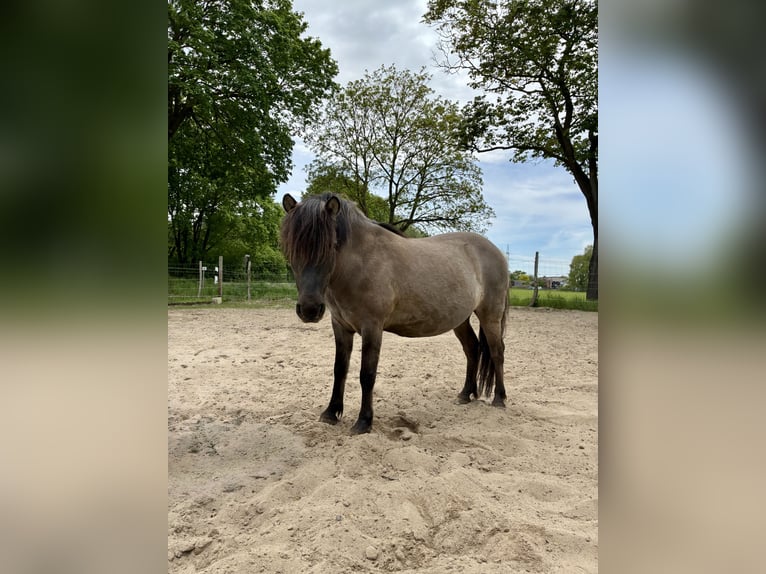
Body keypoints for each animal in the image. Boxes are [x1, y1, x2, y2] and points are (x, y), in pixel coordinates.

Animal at [280, 192, 510, 434]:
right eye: (291, 247)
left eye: (331, 246)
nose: (309, 309)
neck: (361, 261)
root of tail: (495, 251)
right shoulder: (340, 326)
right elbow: (339, 369)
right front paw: (331, 413)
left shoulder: (372, 327)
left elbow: (367, 375)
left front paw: (364, 422)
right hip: (460, 319)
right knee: (472, 348)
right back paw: (465, 394)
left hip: (490, 315)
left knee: (497, 351)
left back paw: (499, 399)